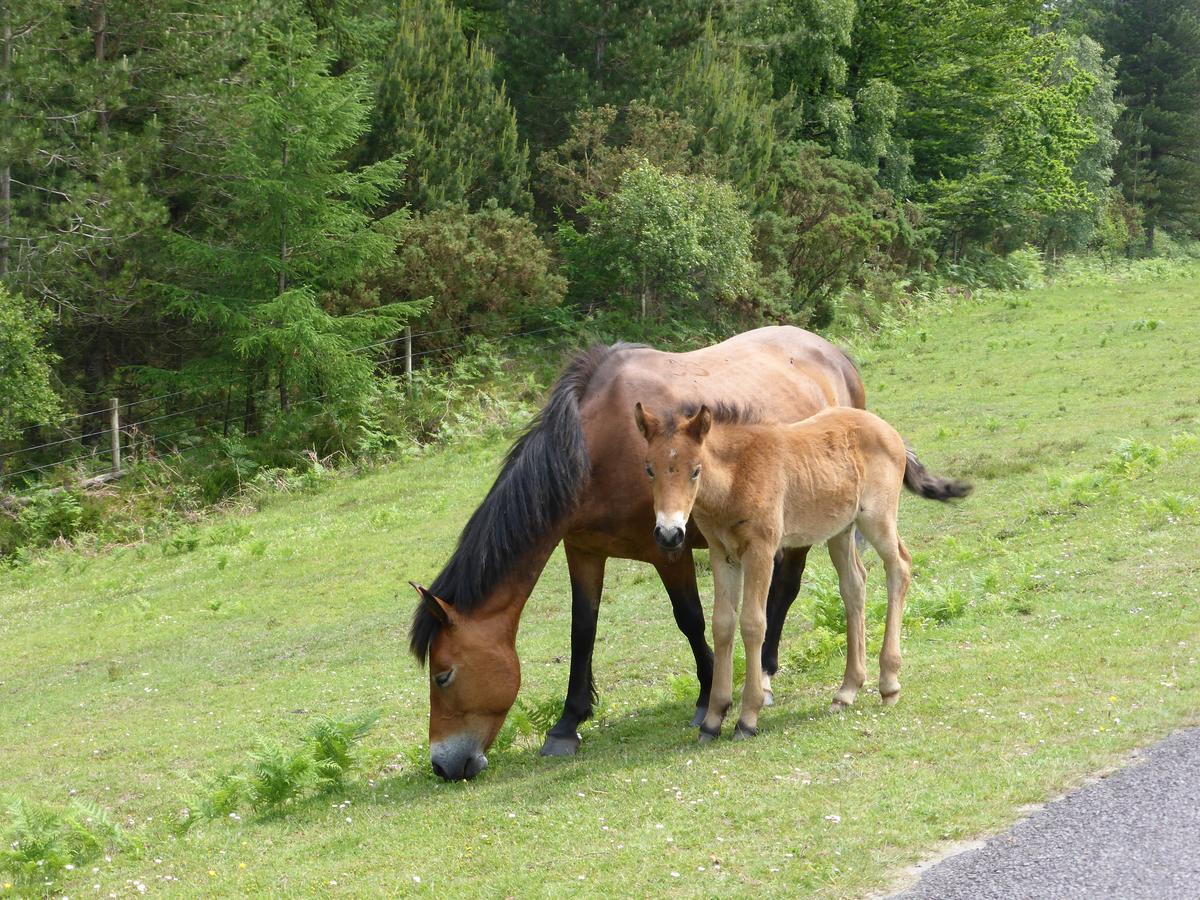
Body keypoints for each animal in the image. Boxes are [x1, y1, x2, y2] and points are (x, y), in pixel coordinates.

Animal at [412, 328, 864, 777]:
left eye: (443, 676)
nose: (442, 765)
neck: (598, 451)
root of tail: (833, 354)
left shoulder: (669, 549)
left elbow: (690, 620)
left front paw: (707, 697)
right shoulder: (583, 551)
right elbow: (582, 631)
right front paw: (567, 724)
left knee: (784, 591)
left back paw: (766, 677)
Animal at [633, 405, 969, 744]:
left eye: (695, 470)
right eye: (649, 469)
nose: (669, 534)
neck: (735, 477)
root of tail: (888, 429)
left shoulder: (761, 550)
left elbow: (753, 623)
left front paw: (748, 716)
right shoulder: (721, 554)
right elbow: (723, 624)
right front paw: (713, 719)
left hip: (878, 519)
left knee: (899, 566)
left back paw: (888, 682)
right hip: (840, 530)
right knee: (854, 584)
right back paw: (846, 691)